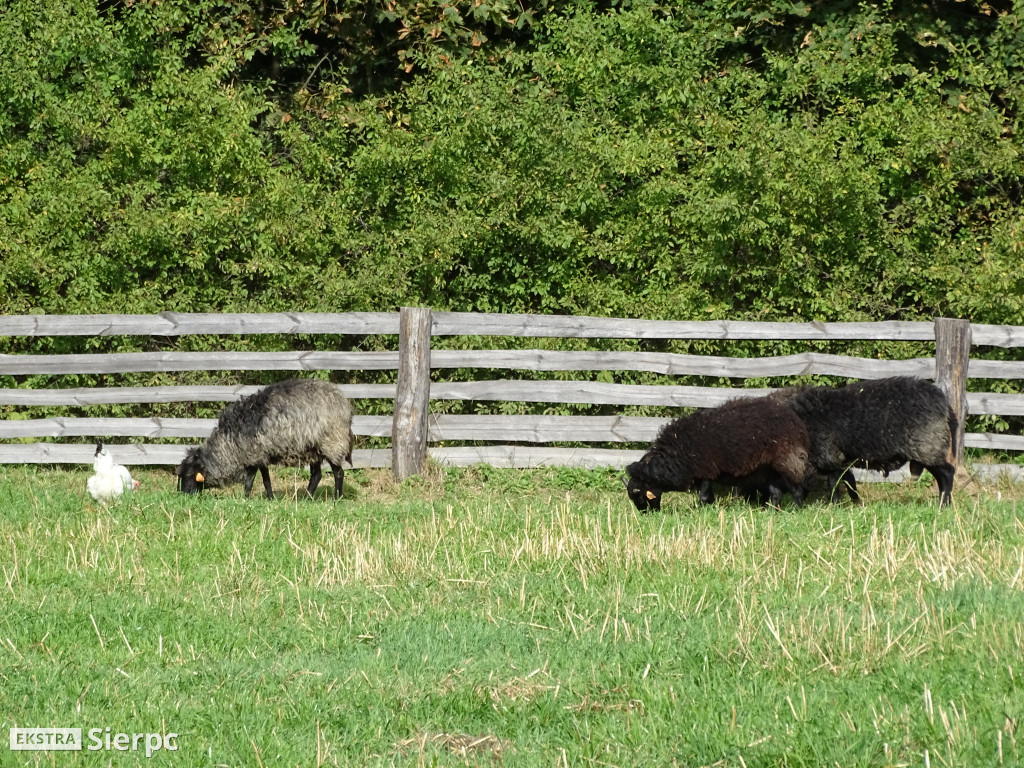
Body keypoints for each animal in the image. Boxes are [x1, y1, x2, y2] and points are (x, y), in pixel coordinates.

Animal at [174, 380, 354, 501]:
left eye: (189, 474)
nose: (181, 496)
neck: (228, 446)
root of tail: (344, 404)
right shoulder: (260, 456)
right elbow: (264, 480)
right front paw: (267, 498)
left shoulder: (253, 455)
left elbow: (251, 481)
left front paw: (248, 499)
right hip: (311, 448)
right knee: (316, 475)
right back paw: (306, 499)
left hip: (331, 442)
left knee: (338, 473)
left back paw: (336, 499)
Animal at [622, 393, 815, 514]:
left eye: (640, 495)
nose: (648, 515)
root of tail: (795, 420)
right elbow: (709, 496)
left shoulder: (705, 470)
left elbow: (704, 496)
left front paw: (700, 511)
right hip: (769, 469)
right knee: (776, 493)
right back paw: (770, 512)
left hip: (787, 459)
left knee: (796, 488)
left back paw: (797, 510)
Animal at [774, 376, 958, 507]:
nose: (771, 508)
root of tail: (944, 404)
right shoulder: (836, 460)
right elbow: (847, 479)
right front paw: (855, 502)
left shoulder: (829, 456)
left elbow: (834, 482)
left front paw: (836, 505)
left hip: (927, 445)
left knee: (947, 473)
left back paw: (944, 505)